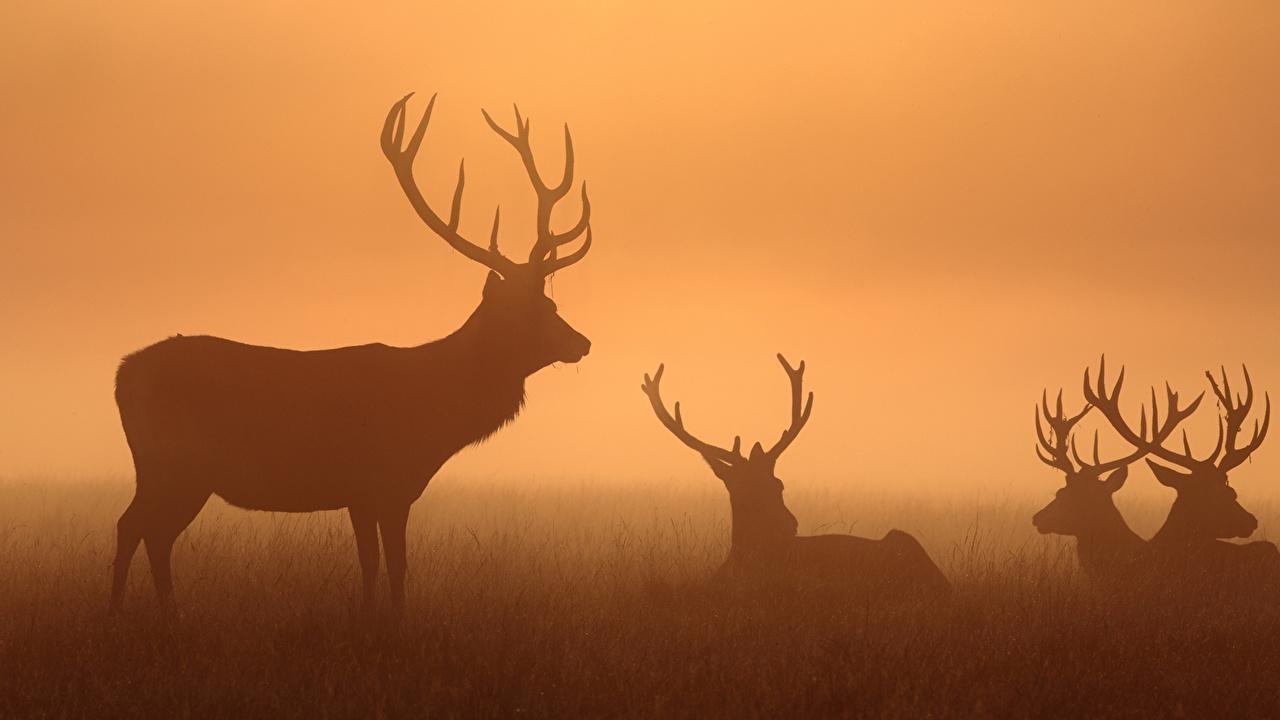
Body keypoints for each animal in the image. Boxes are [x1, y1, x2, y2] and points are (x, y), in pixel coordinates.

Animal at [111, 92, 595, 614]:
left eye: (551, 301)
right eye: (535, 309)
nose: (582, 342)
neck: (436, 414)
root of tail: (121, 374)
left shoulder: (362, 495)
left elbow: (370, 565)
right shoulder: (387, 482)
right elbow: (395, 567)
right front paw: (394, 621)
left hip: (169, 469)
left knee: (146, 530)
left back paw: (159, 612)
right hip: (176, 463)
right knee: (137, 526)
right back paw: (127, 612)